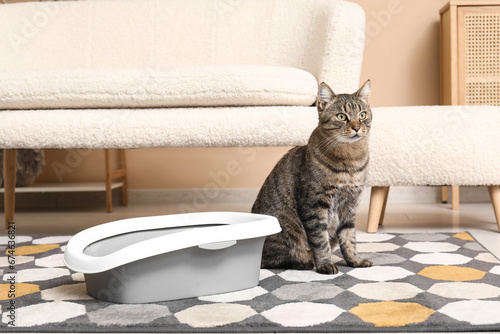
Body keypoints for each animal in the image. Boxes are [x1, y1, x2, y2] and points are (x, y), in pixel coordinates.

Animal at [252, 80, 374, 274]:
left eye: (362, 115)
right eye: (342, 116)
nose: (356, 127)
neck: (350, 161)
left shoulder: (350, 205)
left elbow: (349, 239)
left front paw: (355, 260)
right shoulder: (314, 204)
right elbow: (320, 240)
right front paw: (325, 263)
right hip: (288, 229)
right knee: (271, 260)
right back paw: (303, 262)